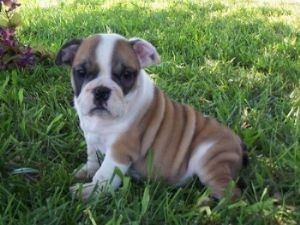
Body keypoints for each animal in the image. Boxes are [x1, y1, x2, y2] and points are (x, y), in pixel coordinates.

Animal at [55, 33, 247, 200]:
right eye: (81, 72)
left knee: (232, 195)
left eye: (126, 75)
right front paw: (86, 171)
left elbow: (104, 175)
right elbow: (92, 157)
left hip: (210, 159)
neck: (101, 121)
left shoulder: (120, 150)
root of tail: (238, 143)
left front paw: (90, 191)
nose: (101, 91)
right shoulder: (91, 137)